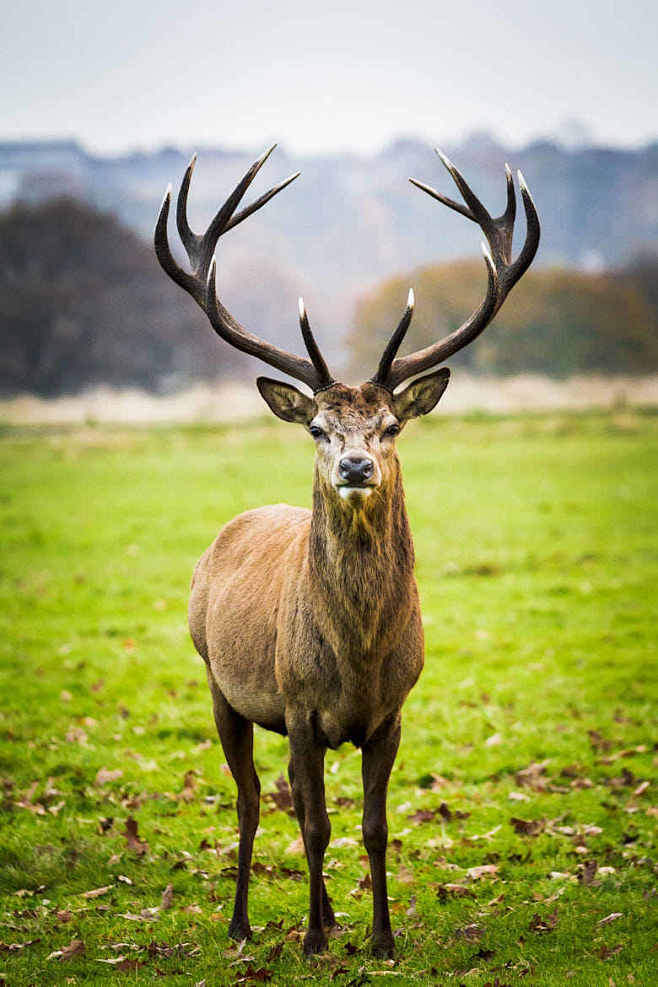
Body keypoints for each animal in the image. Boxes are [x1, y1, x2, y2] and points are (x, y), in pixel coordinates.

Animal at [154, 145, 540, 957]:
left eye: (391, 424)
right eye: (317, 429)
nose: (356, 466)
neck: (357, 659)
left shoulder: (392, 712)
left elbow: (372, 827)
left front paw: (381, 937)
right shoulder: (299, 703)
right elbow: (315, 823)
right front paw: (311, 940)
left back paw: (327, 915)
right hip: (218, 679)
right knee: (250, 802)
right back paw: (242, 922)